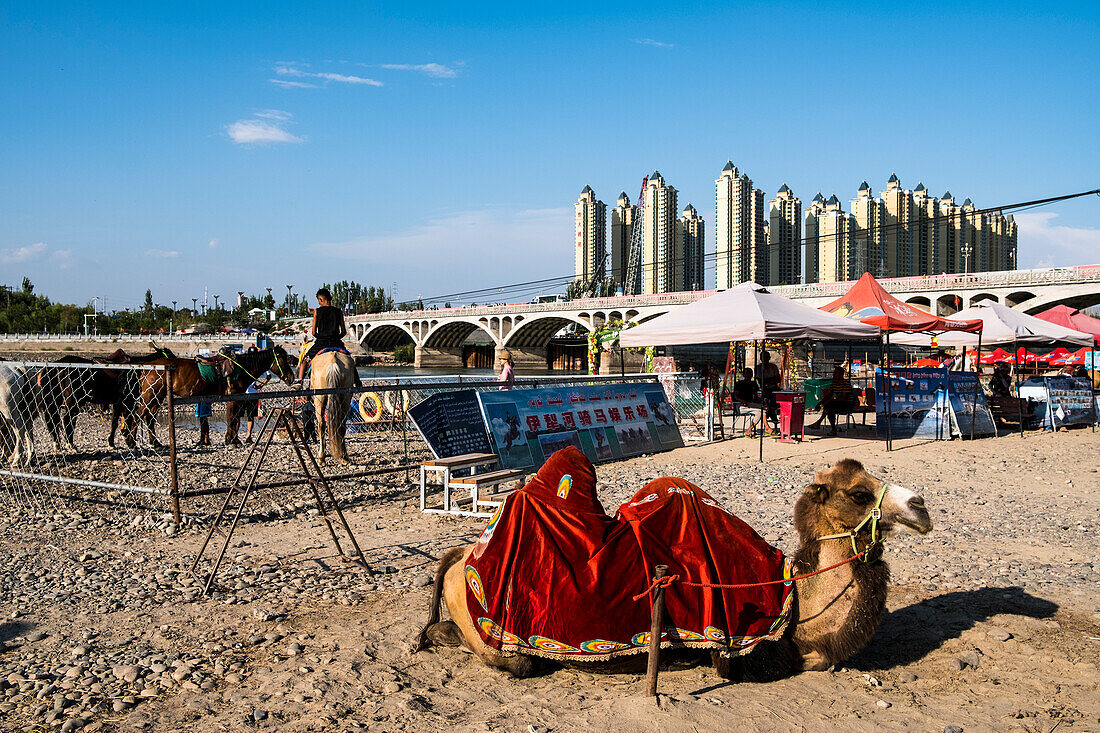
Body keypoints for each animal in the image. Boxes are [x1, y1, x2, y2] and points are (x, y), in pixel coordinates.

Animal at [123, 347, 297, 449]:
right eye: (284, 359)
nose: (291, 378)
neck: (241, 368)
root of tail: (147, 368)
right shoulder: (234, 396)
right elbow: (233, 418)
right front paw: (233, 441)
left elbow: (232, 418)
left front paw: (231, 439)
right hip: (151, 396)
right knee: (138, 415)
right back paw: (132, 442)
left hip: (157, 397)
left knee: (149, 417)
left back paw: (155, 443)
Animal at [415, 457, 932, 677]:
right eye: (860, 493)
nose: (922, 506)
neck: (791, 597)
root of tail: (465, 557)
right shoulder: (741, 647)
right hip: (504, 638)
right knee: (512, 659)